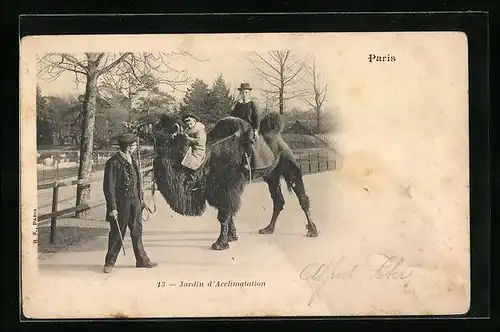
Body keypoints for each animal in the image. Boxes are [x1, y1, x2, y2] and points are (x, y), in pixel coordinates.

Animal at [150, 111, 318, 249]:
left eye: (167, 135)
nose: (145, 129)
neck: (208, 156)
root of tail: (280, 141)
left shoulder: (227, 186)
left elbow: (224, 214)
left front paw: (220, 243)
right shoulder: (214, 189)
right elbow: (227, 212)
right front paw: (232, 236)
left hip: (289, 166)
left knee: (302, 197)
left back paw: (312, 230)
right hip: (271, 176)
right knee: (278, 201)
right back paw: (268, 229)